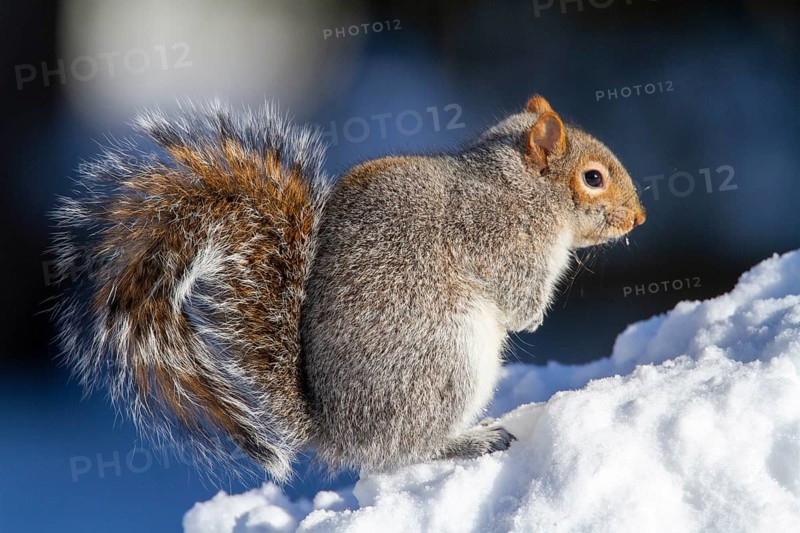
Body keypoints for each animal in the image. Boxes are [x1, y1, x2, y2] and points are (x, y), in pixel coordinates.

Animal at [50, 95, 645, 482]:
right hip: (445, 359)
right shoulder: (500, 243)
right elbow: (517, 301)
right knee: (405, 448)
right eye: (593, 178)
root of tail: (337, 431)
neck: (520, 189)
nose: (638, 218)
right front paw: (535, 316)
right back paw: (470, 439)